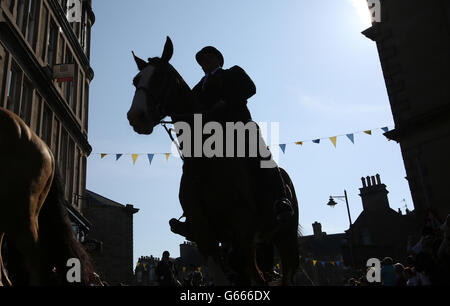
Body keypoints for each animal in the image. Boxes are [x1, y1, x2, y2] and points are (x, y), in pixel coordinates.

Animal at [127, 37, 298, 286]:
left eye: (160, 76)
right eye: (136, 80)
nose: (136, 117)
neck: (204, 163)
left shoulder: (242, 230)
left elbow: (247, 86)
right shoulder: (205, 235)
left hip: (285, 238)